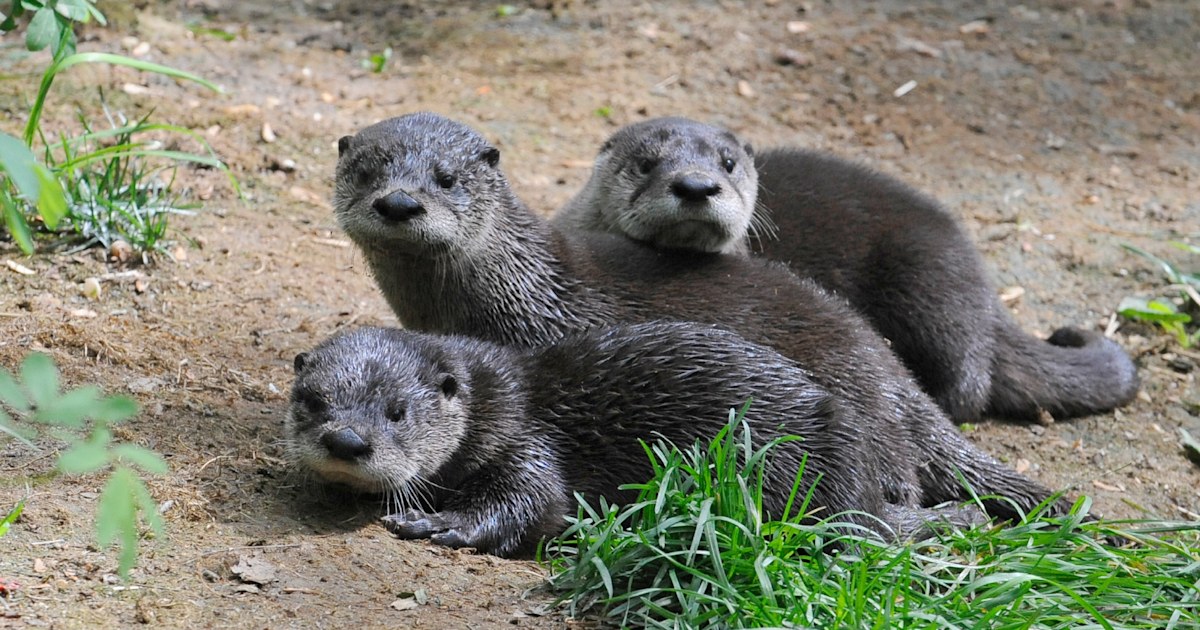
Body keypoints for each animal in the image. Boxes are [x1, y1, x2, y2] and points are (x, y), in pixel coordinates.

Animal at [288, 322, 988, 557]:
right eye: (312, 401)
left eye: (398, 411)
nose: (346, 441)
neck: (496, 403)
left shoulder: (525, 440)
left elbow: (536, 503)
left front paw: (444, 523)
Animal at [552, 117, 1139, 423]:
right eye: (646, 164)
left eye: (728, 163)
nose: (696, 185)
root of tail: (985, 289)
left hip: (927, 276)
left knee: (969, 384)